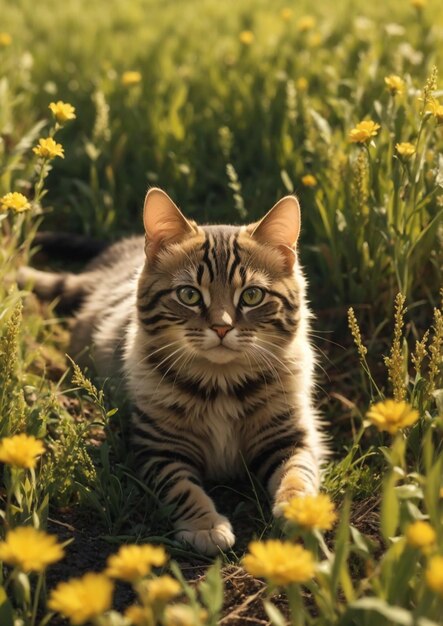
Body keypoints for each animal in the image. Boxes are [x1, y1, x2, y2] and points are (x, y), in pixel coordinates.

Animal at [18, 188, 326, 552]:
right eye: (189, 295)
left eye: (251, 296)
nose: (222, 327)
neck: (222, 382)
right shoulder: (159, 448)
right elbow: (182, 488)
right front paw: (206, 525)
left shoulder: (291, 438)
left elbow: (298, 474)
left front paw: (299, 511)